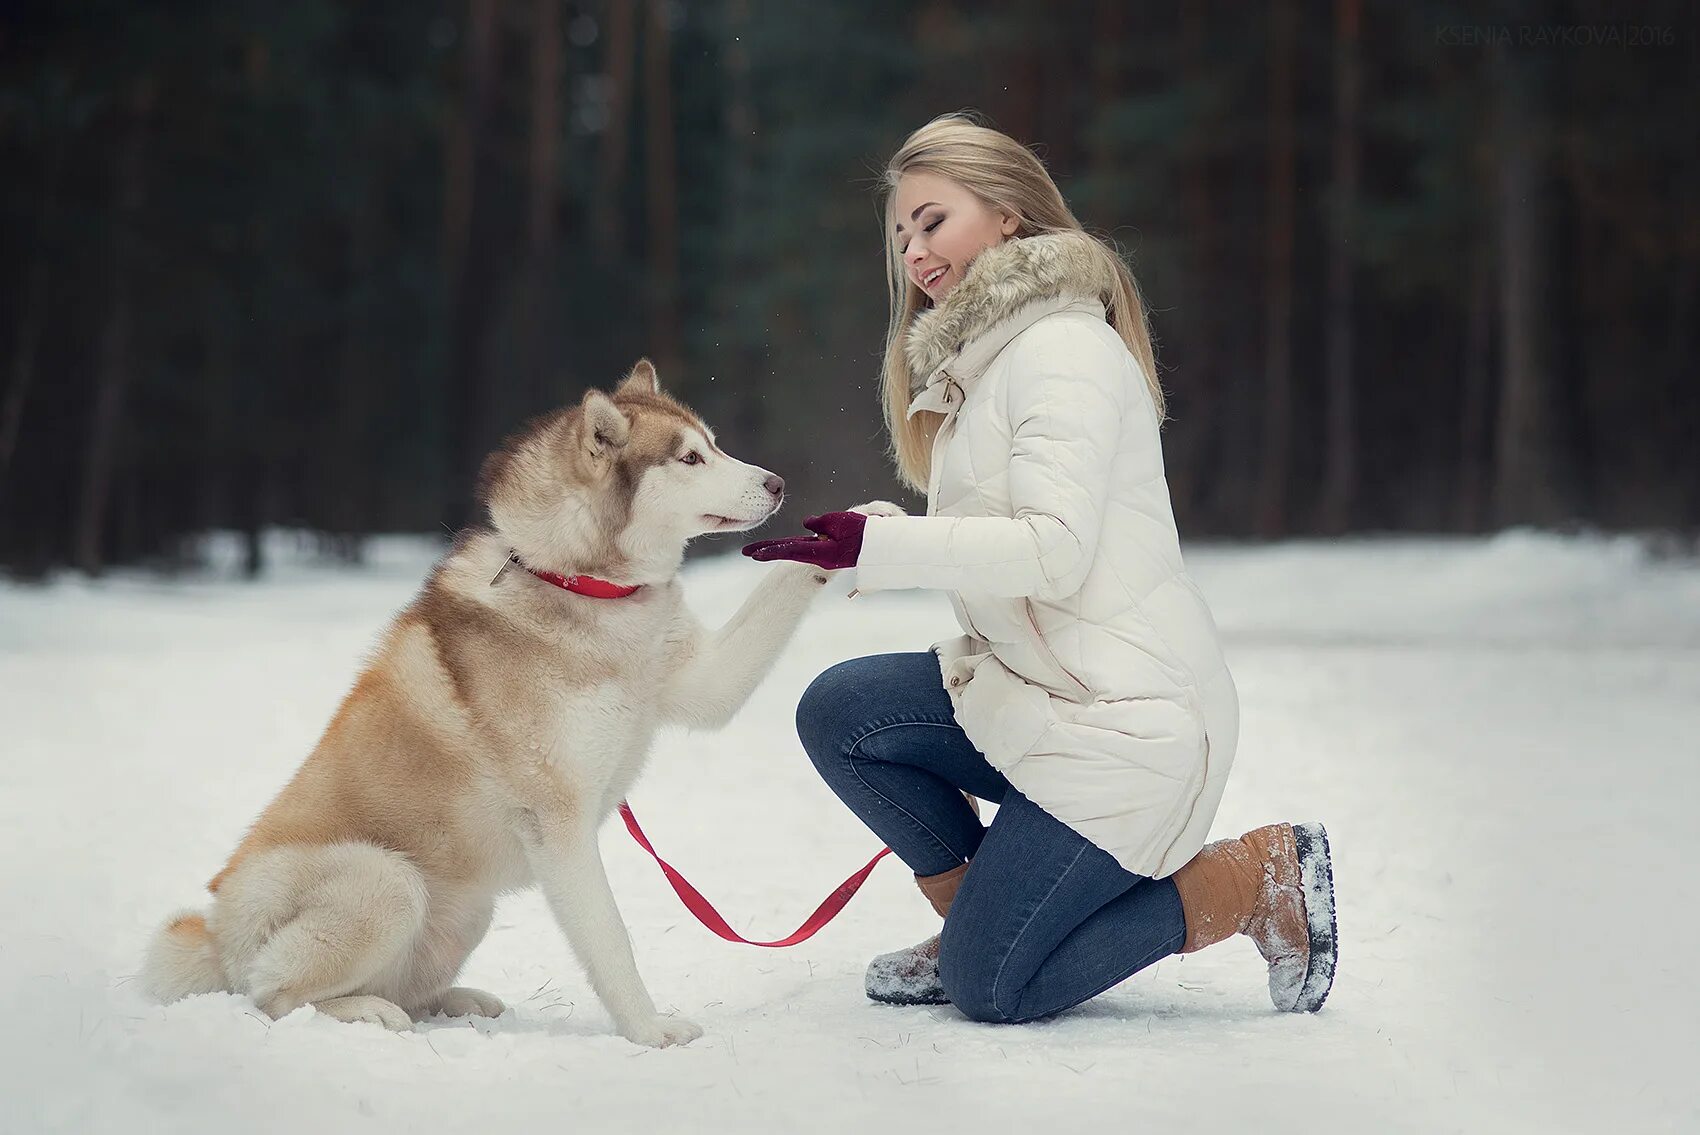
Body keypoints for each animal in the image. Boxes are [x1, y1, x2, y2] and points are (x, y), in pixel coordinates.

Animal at [142, 361, 890, 1046]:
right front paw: (648, 1030)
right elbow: (611, 938)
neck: (584, 586)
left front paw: (865, 525)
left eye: (714, 443)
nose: (777, 483)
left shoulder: (703, 679)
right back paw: (366, 1014)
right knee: (273, 994)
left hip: (464, 910)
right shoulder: (560, 824)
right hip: (383, 880)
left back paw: (454, 1002)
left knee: (402, 985)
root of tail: (214, 933)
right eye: (689, 457)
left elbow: (781, 586)